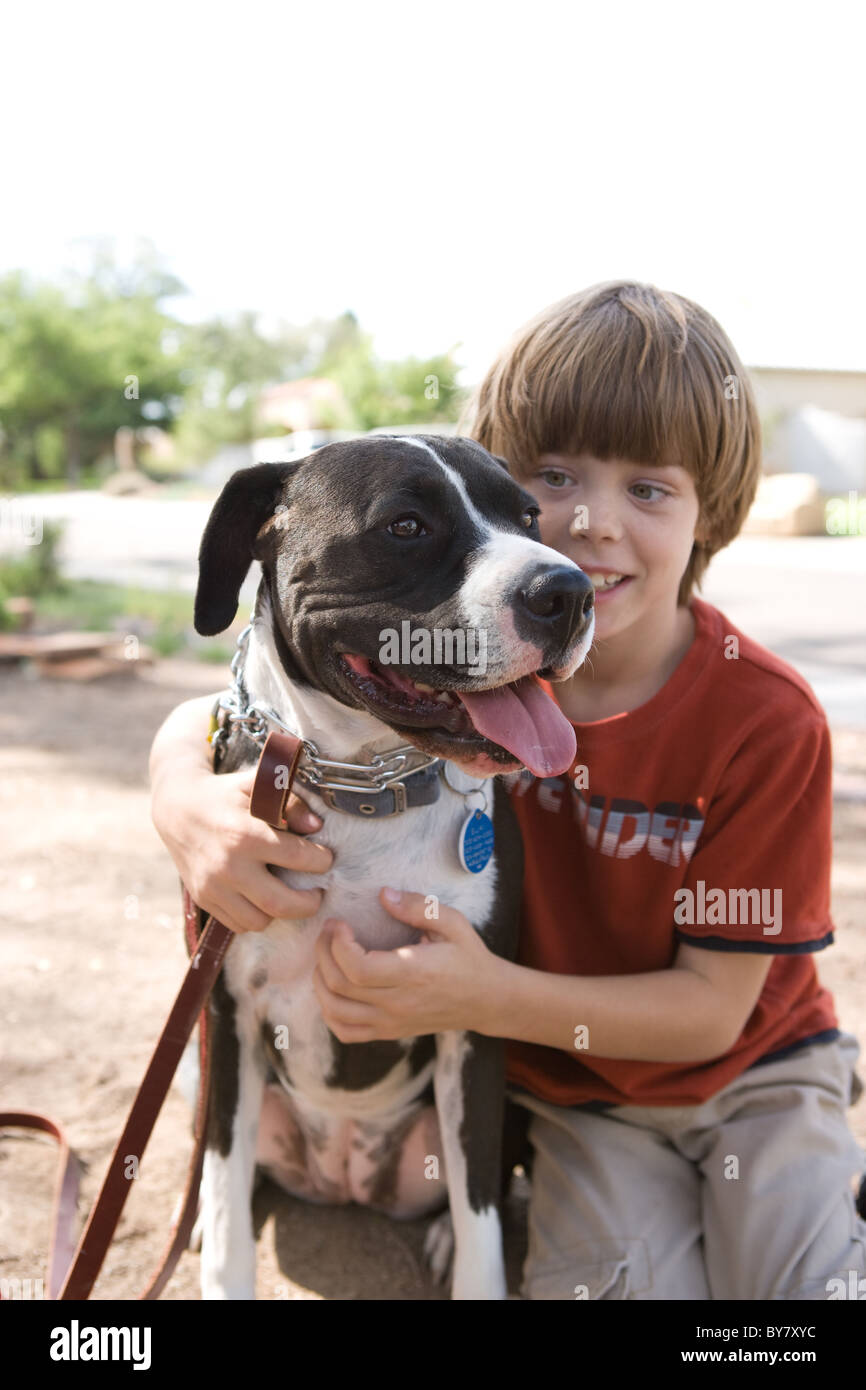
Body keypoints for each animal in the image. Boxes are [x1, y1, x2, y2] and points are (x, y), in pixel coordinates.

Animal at [189, 428, 594, 1295]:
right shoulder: (226, 1015)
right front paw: (219, 1245)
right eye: (406, 526)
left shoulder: (473, 1016)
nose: (571, 592)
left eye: (530, 516)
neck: (363, 790)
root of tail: (345, 1173)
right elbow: (227, 1200)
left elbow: (480, 1219)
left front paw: (468, 1255)